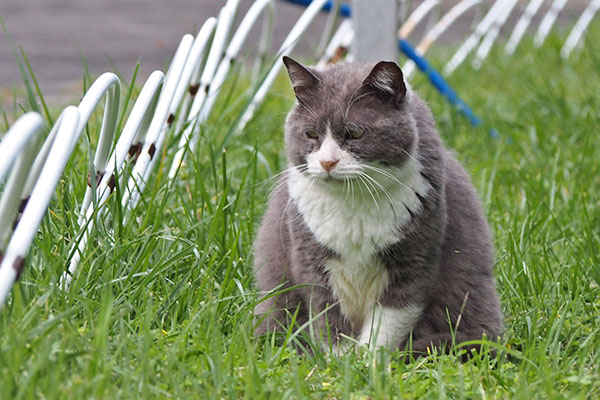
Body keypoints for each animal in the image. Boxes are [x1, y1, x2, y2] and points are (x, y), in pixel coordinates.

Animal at [252, 56, 502, 360]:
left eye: (355, 132)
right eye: (310, 133)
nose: (327, 162)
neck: (353, 204)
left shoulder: (414, 262)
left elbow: (388, 321)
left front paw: (368, 361)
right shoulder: (311, 260)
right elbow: (328, 318)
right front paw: (341, 361)